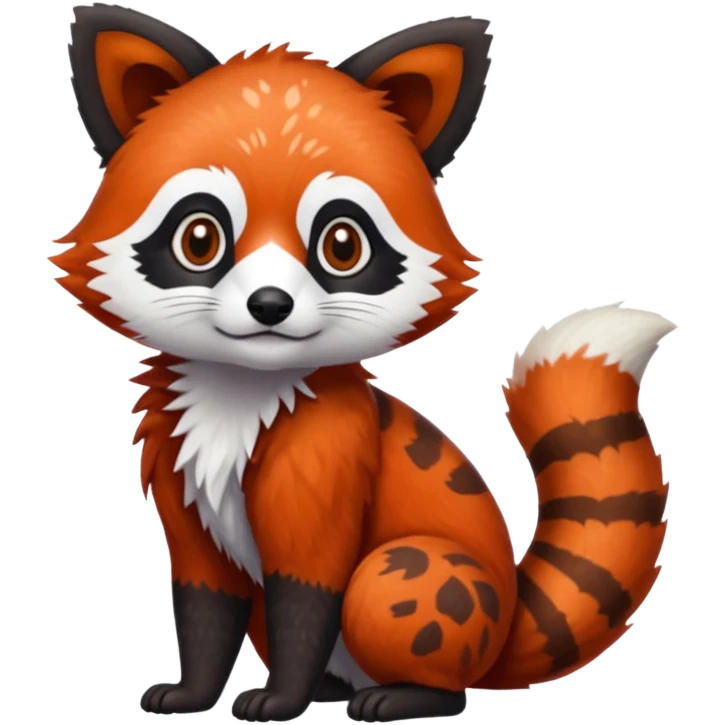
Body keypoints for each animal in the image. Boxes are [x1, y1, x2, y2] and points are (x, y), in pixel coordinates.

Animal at [52, 4, 675, 723]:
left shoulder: (326, 469)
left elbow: (307, 589)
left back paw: (403, 693)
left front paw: (282, 697)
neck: (237, 396)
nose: (270, 305)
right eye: (199, 237)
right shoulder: (185, 490)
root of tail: (508, 627)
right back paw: (332, 687)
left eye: (341, 245)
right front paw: (195, 693)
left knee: (422, 638)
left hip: (413, 579)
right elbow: (205, 603)